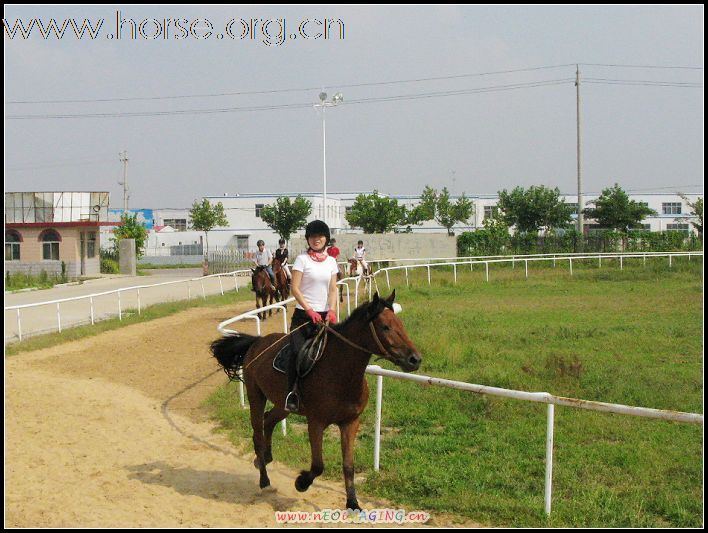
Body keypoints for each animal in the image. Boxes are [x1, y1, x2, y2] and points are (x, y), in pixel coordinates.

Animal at [210, 288, 420, 510]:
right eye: (385, 327)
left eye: (400, 324)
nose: (415, 359)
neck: (339, 371)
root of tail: (257, 342)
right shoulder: (316, 422)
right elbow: (318, 465)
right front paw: (301, 482)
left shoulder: (350, 422)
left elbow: (349, 465)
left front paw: (353, 503)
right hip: (255, 395)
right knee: (258, 433)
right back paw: (264, 480)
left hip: (283, 405)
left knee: (269, 421)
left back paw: (264, 459)